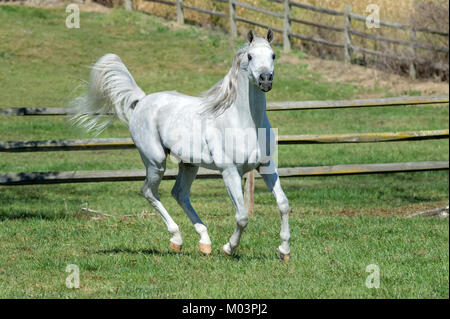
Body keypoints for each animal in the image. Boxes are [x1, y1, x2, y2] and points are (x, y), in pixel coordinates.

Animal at [69, 28, 290, 262]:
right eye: (250, 56)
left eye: (273, 55)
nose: (266, 80)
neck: (243, 122)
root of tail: (142, 100)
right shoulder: (229, 171)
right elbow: (242, 216)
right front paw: (229, 248)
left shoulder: (266, 167)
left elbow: (283, 205)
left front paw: (284, 251)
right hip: (155, 161)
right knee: (149, 192)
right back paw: (177, 239)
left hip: (189, 164)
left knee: (180, 193)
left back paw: (204, 243)